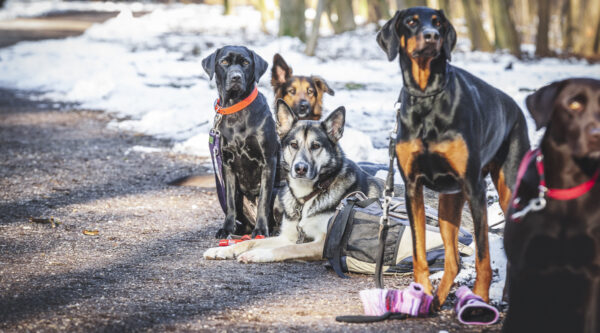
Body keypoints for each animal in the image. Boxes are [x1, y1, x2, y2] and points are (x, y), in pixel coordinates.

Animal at [200, 45, 278, 237]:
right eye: (224, 62)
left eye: (245, 63)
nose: (236, 77)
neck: (236, 108)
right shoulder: (227, 165)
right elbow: (229, 202)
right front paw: (227, 228)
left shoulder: (268, 161)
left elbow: (263, 200)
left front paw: (261, 230)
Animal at [204, 100, 382, 262]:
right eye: (294, 144)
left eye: (316, 146)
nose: (300, 168)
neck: (307, 197)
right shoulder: (287, 236)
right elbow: (250, 242)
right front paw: (222, 250)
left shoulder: (322, 243)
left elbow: (288, 248)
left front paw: (257, 254)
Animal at [378, 7, 532, 308]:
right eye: (411, 21)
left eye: (438, 23)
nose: (432, 36)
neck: (426, 97)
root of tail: (515, 108)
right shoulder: (413, 186)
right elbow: (419, 252)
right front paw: (422, 294)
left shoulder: (475, 187)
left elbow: (483, 257)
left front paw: (480, 299)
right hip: (448, 201)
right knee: (453, 261)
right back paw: (437, 300)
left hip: (508, 191)